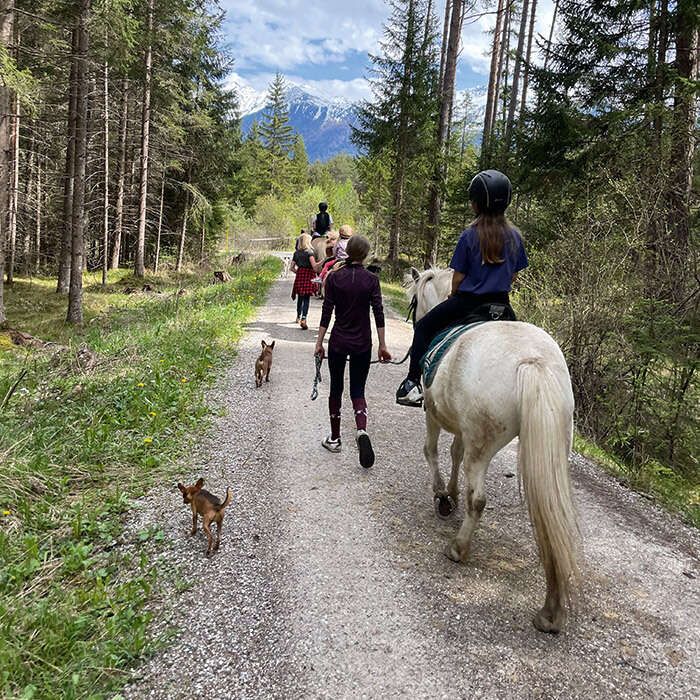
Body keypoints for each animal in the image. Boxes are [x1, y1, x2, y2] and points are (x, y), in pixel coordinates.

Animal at [410, 268, 580, 636]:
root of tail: (533, 361)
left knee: (478, 499)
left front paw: (441, 496)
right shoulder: (463, 430)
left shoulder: (433, 413)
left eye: (415, 299)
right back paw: (551, 611)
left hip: (483, 442)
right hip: (549, 447)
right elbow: (454, 453)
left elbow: (432, 451)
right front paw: (450, 494)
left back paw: (458, 548)